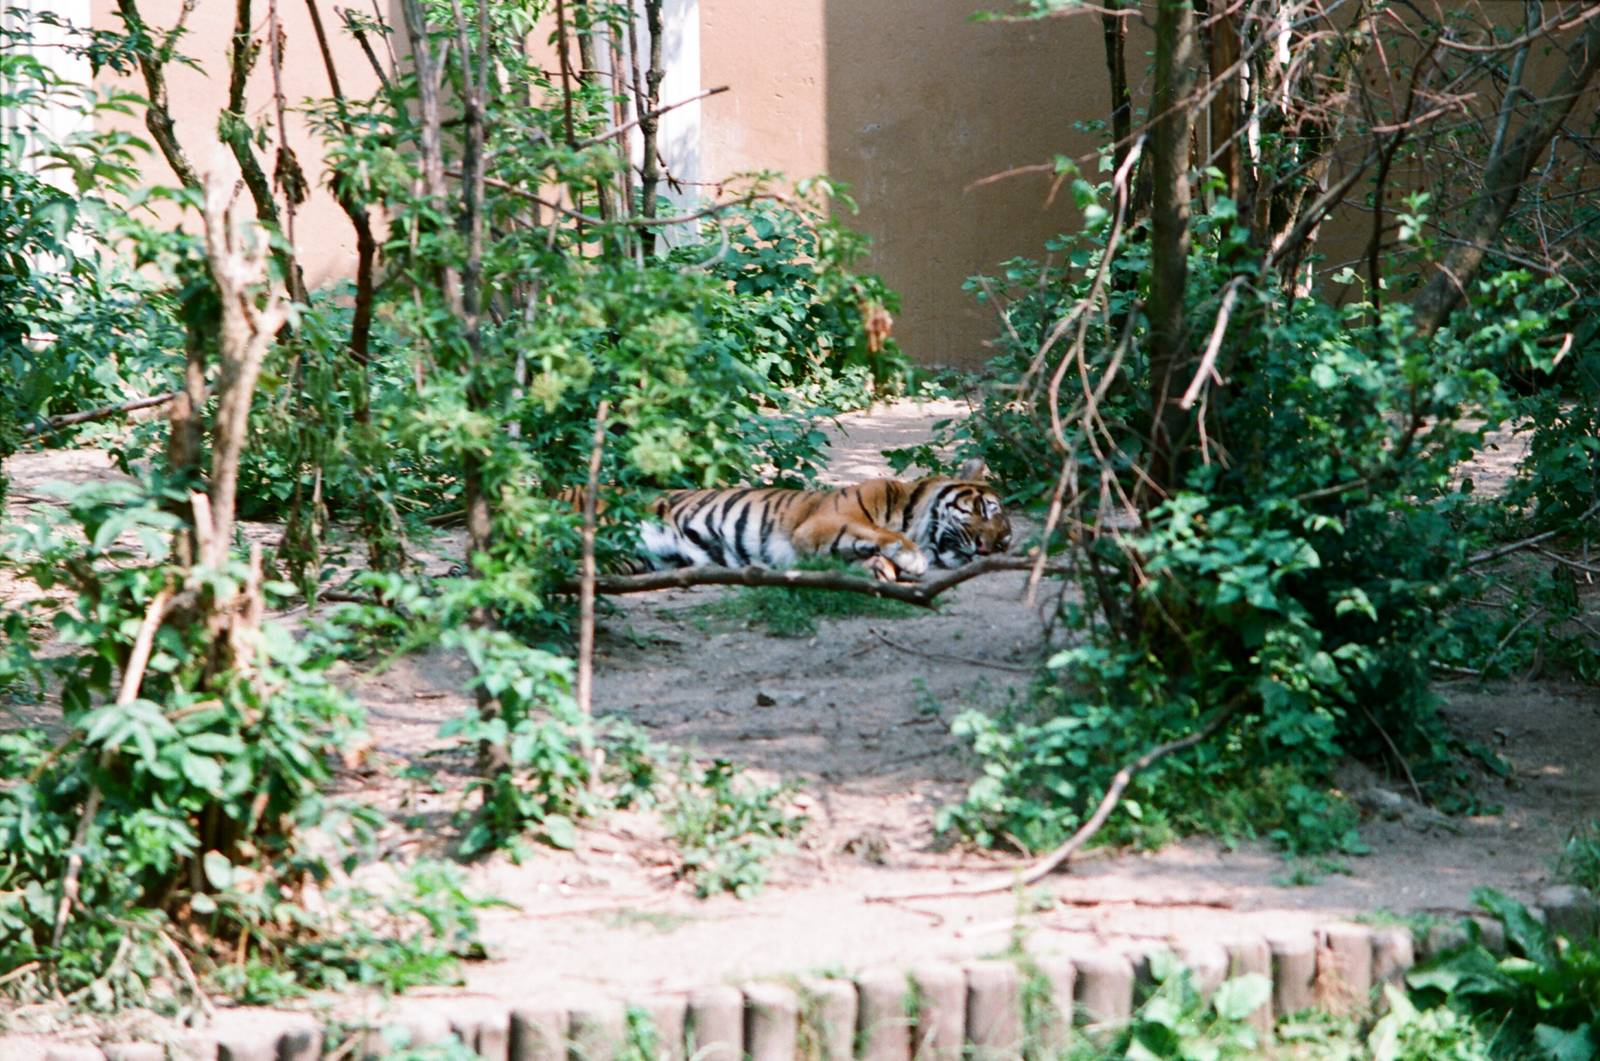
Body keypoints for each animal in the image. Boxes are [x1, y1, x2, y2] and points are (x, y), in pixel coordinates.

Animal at [619, 459, 1012, 582]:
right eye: (983, 510)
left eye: (1002, 543)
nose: (983, 548)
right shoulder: (822, 524)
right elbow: (878, 533)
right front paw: (910, 557)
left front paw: (881, 568)